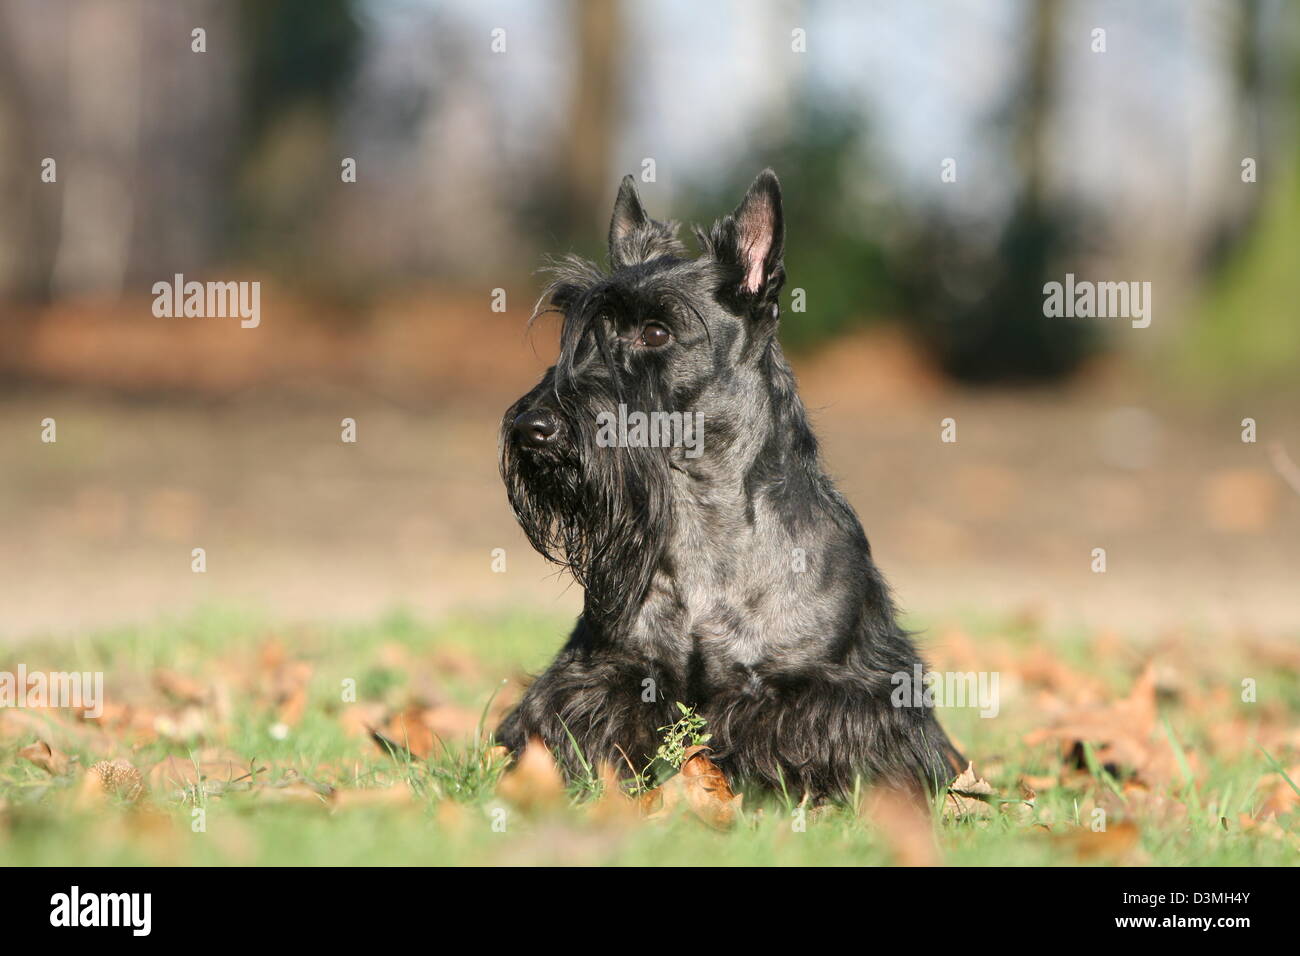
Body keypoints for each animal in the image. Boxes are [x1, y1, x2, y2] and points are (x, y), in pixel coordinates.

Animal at [491, 171, 961, 801]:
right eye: (582, 335)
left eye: (656, 331)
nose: (532, 429)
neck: (700, 519)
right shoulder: (604, 674)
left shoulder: (829, 692)